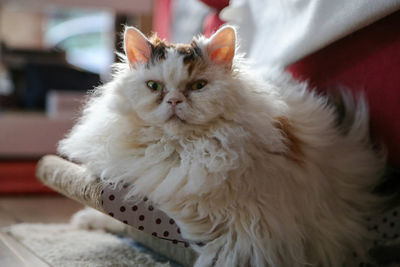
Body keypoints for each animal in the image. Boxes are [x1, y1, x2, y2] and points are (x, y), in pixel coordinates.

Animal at [58, 25, 384, 267]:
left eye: (198, 86)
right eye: (154, 87)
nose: (174, 101)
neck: (179, 150)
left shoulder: (255, 222)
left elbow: (235, 247)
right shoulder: (146, 183)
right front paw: (94, 220)